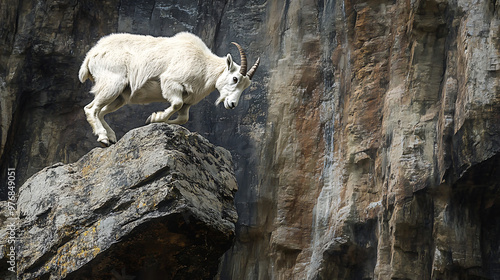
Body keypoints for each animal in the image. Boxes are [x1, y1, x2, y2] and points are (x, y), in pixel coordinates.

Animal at [77, 31, 262, 147]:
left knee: (101, 112)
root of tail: (90, 57)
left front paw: (156, 120)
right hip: (112, 83)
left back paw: (111, 137)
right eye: (235, 78)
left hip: (120, 96)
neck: (204, 65)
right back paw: (103, 138)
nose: (232, 104)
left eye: (245, 86)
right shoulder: (171, 82)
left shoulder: (189, 101)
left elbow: (183, 118)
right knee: (91, 109)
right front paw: (154, 117)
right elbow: (176, 104)